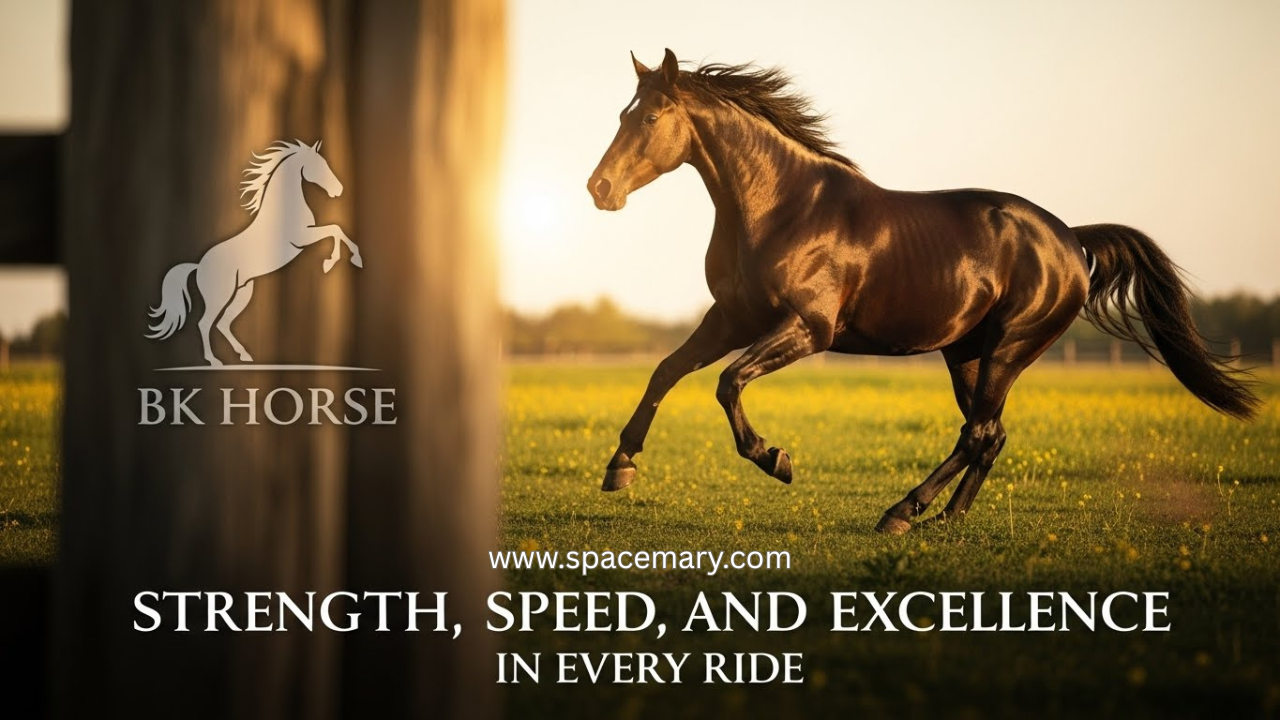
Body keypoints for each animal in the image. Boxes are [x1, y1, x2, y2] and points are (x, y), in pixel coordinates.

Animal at [145, 139, 361, 366]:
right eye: (319, 165)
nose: (339, 190)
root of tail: (199, 266)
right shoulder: (301, 239)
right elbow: (335, 229)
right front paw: (333, 262)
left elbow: (336, 230)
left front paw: (348, 260)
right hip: (220, 296)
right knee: (205, 323)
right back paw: (215, 361)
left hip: (243, 292)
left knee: (223, 323)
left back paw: (245, 356)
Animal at [586, 49, 1260, 534]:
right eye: (621, 114)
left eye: (649, 117)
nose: (599, 189)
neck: (781, 208)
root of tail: (1071, 239)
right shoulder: (730, 318)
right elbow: (666, 371)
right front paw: (620, 467)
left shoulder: (807, 329)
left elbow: (727, 383)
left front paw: (776, 460)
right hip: (965, 353)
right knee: (989, 434)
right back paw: (945, 519)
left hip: (1008, 348)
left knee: (979, 433)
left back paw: (901, 514)